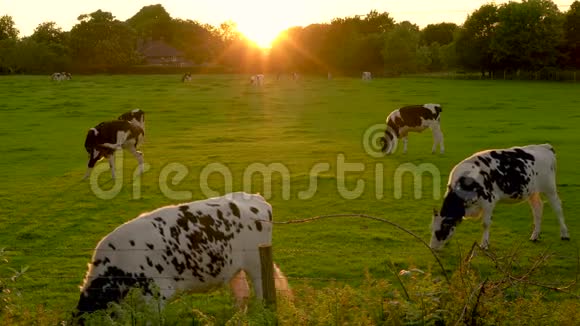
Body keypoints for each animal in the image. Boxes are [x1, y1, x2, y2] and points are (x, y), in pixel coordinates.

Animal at [73, 192, 288, 322]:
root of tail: (255, 197)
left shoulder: (157, 295)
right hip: (233, 267)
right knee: (241, 294)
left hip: (257, 264)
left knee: (261, 293)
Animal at [430, 143, 572, 250]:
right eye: (432, 229)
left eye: (440, 231)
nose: (432, 248)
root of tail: (545, 147)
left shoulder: (489, 201)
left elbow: (485, 223)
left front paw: (484, 244)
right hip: (532, 190)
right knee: (538, 209)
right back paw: (535, 236)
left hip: (549, 188)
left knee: (557, 207)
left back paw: (564, 234)